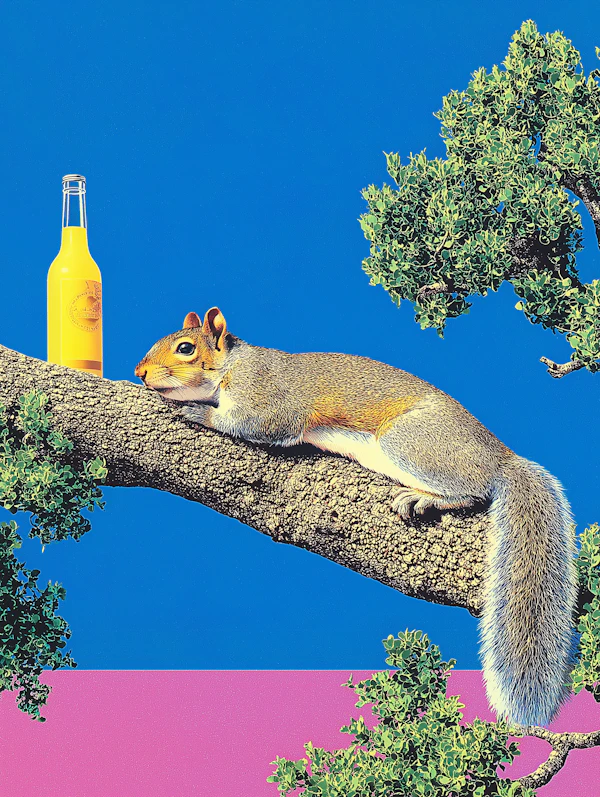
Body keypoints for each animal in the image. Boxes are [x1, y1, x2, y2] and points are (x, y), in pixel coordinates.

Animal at [135, 306, 577, 727]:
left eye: (186, 348)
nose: (139, 372)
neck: (234, 364)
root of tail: (502, 459)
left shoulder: (265, 393)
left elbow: (260, 422)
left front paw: (199, 413)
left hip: (409, 441)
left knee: (471, 489)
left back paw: (425, 497)